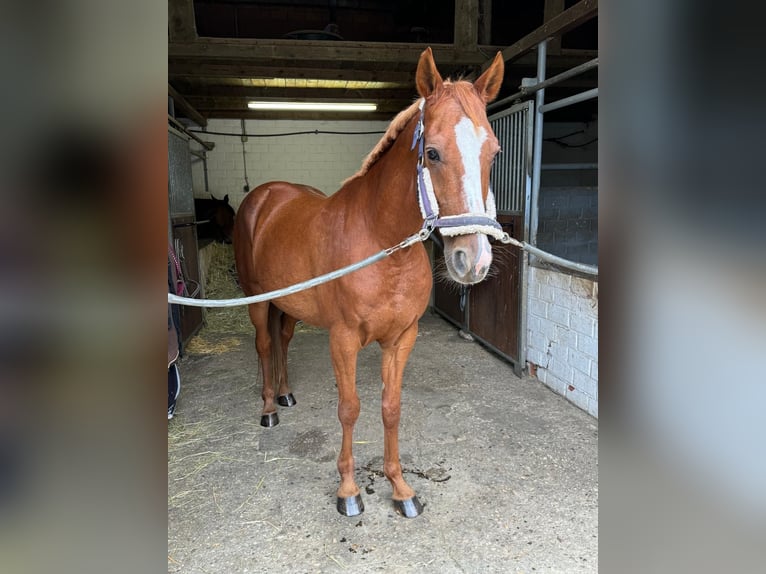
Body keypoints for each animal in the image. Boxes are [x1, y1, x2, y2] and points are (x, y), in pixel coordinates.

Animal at [234, 48, 510, 516]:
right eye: (432, 153)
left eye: (492, 152)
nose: (472, 260)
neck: (381, 243)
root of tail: (264, 195)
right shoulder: (343, 340)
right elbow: (349, 408)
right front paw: (348, 492)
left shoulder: (401, 338)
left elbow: (391, 408)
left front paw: (400, 489)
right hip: (258, 301)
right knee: (265, 344)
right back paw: (270, 407)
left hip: (289, 306)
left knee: (283, 341)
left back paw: (287, 394)